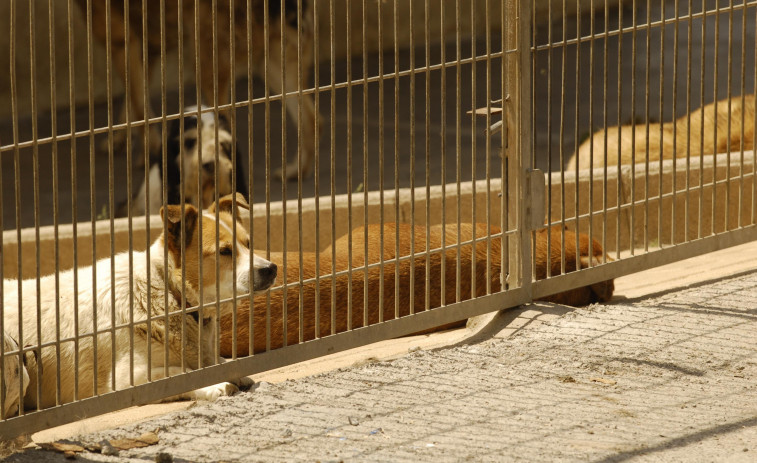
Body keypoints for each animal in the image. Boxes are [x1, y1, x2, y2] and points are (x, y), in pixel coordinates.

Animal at [1, 194, 276, 412]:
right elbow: (179, 374)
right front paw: (215, 384)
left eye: (248, 244)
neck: (169, 293)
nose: (271, 269)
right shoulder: (128, 379)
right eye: (225, 251)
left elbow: (219, 362)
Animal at [78, 0, 320, 182]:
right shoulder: (149, 50)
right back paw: (297, 171)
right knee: (312, 118)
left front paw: (149, 154)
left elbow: (138, 106)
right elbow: (135, 104)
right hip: (271, 67)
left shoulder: (122, 42)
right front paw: (118, 141)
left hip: (205, 63)